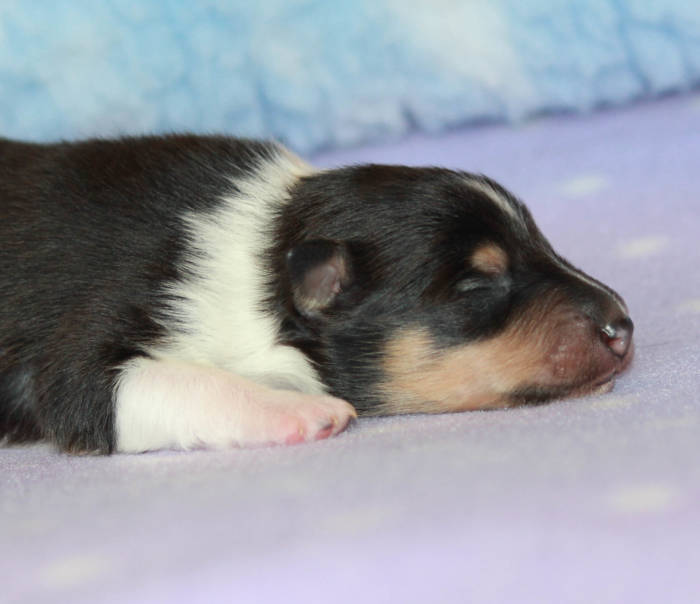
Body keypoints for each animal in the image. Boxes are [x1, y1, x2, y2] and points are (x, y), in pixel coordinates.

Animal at [0, 135, 634, 454]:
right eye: (476, 283)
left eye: (542, 242)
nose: (622, 327)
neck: (268, 257)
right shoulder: (92, 338)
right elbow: (146, 380)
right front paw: (301, 409)